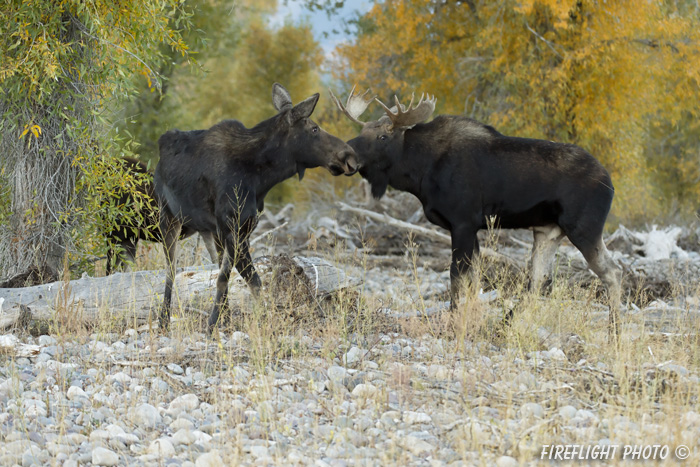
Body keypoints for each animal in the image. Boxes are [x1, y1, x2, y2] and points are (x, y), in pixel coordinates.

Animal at [155, 84, 358, 332]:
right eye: (314, 128)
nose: (350, 156)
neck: (260, 178)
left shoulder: (242, 228)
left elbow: (240, 279)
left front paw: (230, 321)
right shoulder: (231, 228)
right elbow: (239, 279)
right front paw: (213, 326)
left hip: (208, 230)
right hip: (168, 219)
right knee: (170, 270)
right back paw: (163, 320)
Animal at [330, 86, 620, 338]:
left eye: (383, 136)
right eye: (363, 130)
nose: (345, 157)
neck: (420, 171)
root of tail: (610, 182)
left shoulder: (463, 223)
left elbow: (456, 278)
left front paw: (454, 323)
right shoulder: (473, 228)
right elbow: (473, 282)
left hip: (584, 228)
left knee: (612, 272)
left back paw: (614, 333)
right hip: (548, 232)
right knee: (541, 280)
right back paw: (504, 324)